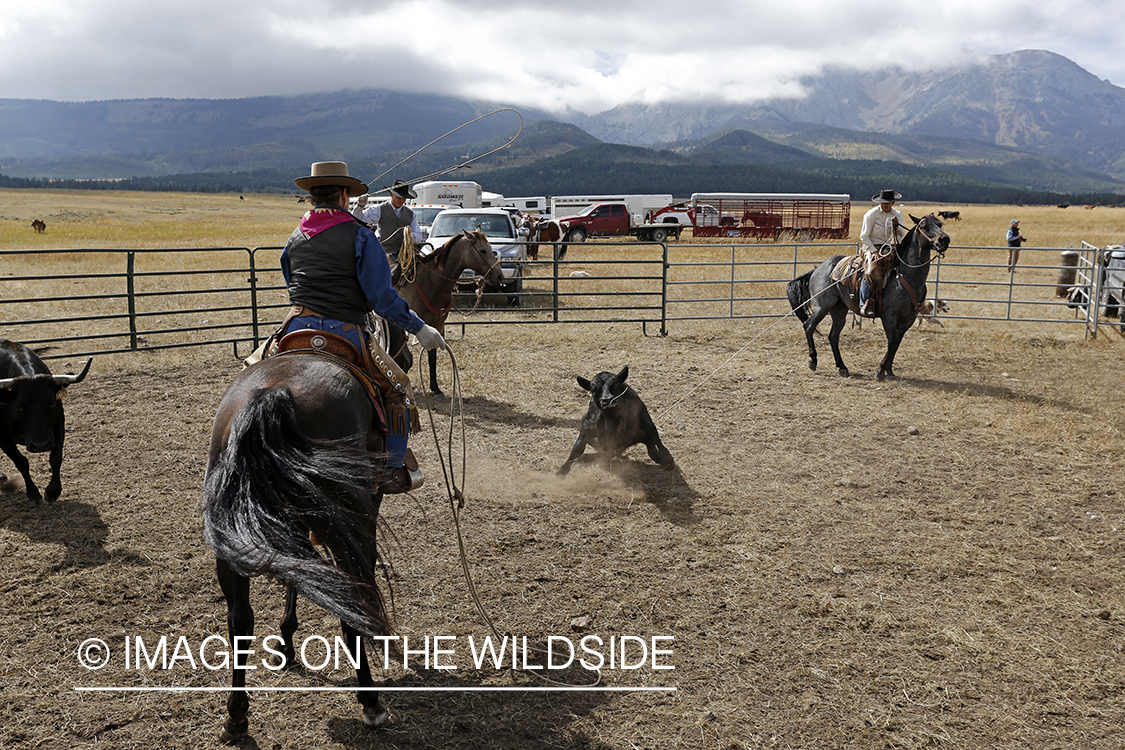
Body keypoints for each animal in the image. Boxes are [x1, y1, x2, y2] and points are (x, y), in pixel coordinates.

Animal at [0, 339, 91, 503]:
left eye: (52, 403)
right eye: (19, 406)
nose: (40, 445)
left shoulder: (58, 426)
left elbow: (55, 458)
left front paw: (53, 492)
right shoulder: (3, 438)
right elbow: (21, 462)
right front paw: (33, 493)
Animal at [203, 355, 396, 742]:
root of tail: (274, 394)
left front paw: (286, 642)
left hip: (228, 537)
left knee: (240, 620)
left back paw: (236, 717)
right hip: (346, 523)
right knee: (350, 600)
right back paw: (371, 702)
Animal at [393, 227, 504, 393]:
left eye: (491, 249)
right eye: (483, 250)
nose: (499, 276)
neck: (431, 282)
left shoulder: (436, 326)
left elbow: (432, 358)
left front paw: (435, 388)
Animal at [787, 213, 954, 382]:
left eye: (940, 224)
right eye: (924, 227)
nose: (944, 239)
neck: (905, 275)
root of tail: (817, 269)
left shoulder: (909, 318)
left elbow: (896, 343)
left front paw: (889, 371)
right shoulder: (889, 315)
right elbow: (892, 342)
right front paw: (880, 371)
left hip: (839, 309)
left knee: (833, 336)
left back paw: (842, 367)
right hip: (822, 306)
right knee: (809, 326)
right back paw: (813, 361)